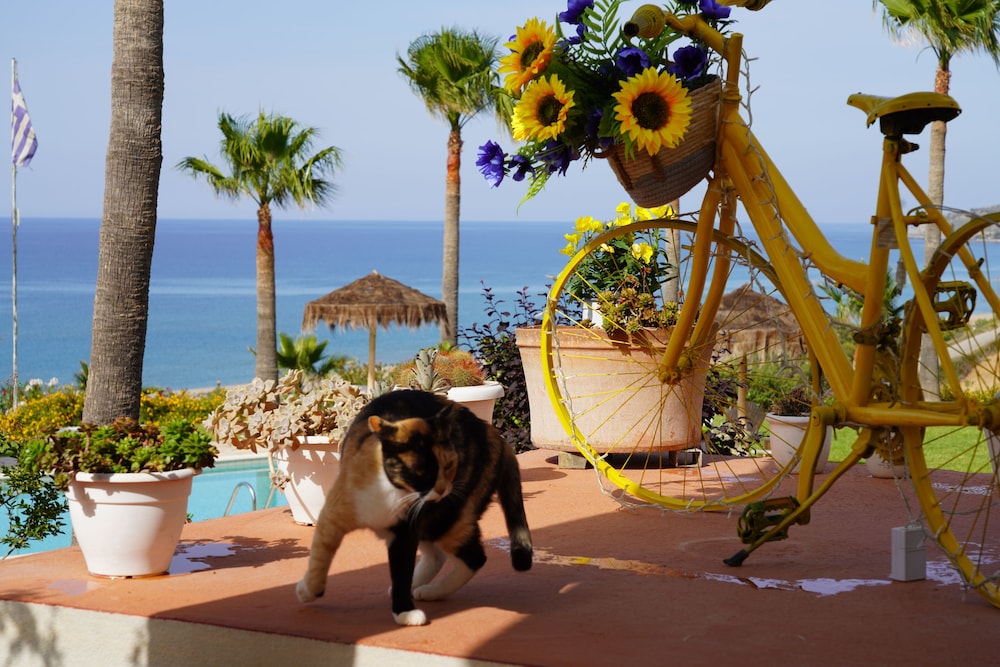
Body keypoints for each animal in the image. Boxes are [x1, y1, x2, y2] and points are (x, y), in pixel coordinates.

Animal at [295, 389, 533, 626]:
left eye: (449, 465)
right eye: (421, 471)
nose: (442, 489)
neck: (390, 490)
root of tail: (495, 435)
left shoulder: (404, 532)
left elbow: (402, 570)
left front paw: (404, 611)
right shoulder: (332, 516)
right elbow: (318, 560)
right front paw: (308, 591)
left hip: (446, 518)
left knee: (474, 557)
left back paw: (431, 591)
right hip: (431, 521)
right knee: (438, 556)